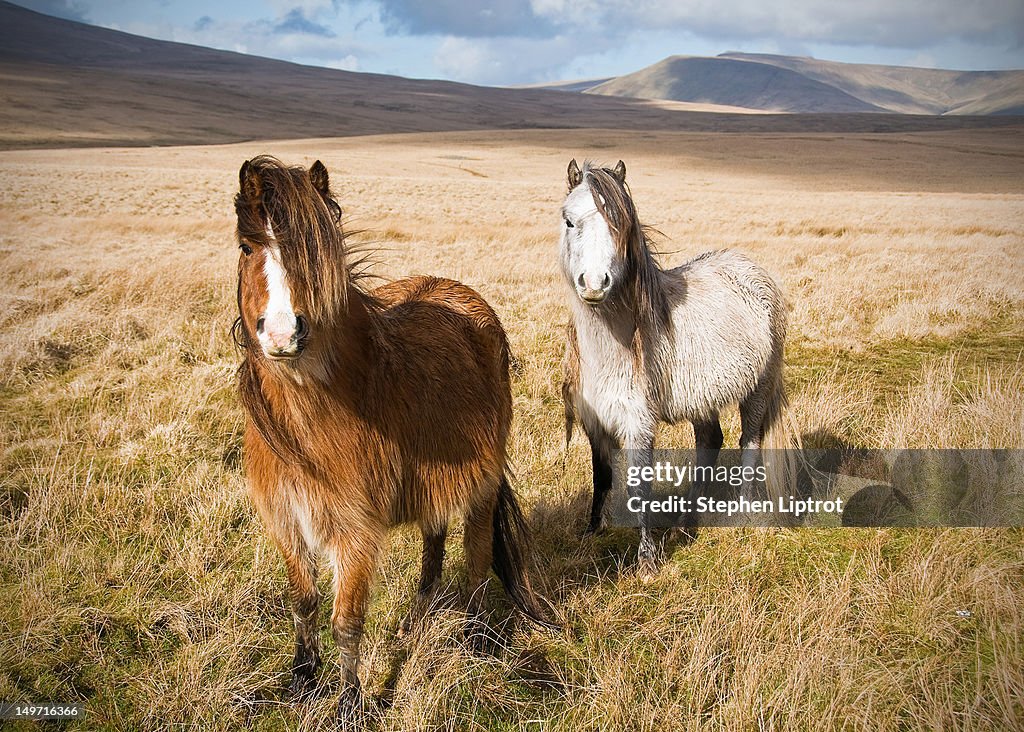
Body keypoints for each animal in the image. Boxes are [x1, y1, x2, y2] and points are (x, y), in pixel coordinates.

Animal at [232, 154, 552, 720]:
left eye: (318, 249)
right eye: (248, 247)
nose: (283, 333)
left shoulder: (355, 531)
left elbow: (346, 622)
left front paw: (349, 705)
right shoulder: (286, 520)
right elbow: (303, 603)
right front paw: (300, 680)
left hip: (482, 488)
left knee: (475, 561)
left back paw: (475, 641)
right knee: (433, 547)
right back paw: (419, 620)